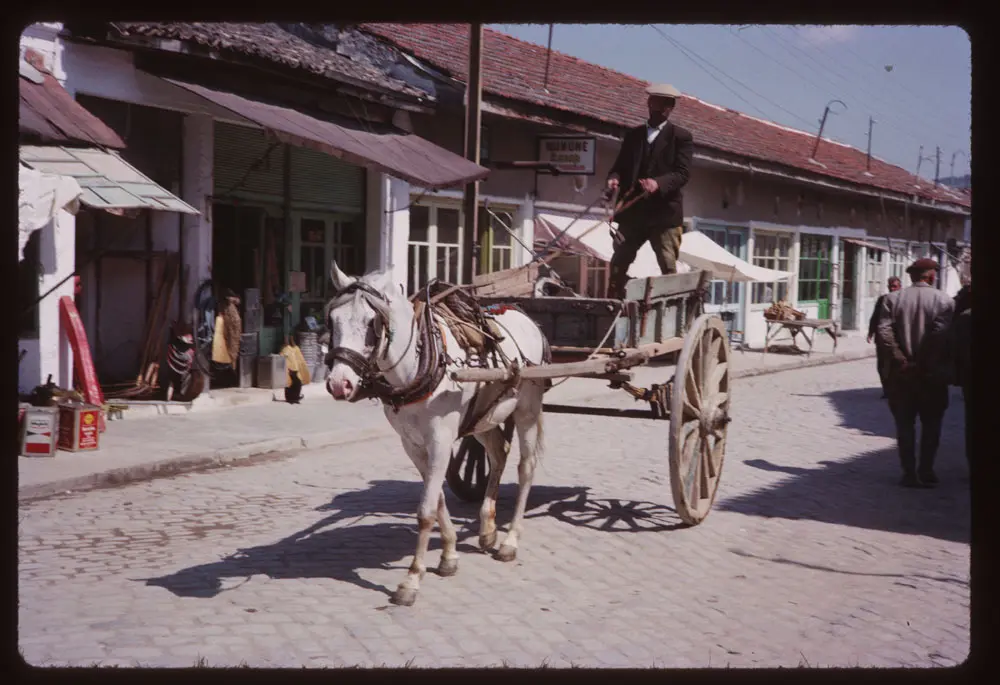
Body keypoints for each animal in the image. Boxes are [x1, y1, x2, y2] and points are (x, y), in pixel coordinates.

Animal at [326, 260, 548, 604]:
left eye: (371, 322)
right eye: (332, 319)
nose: (339, 384)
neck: (418, 364)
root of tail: (525, 316)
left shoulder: (441, 440)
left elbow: (426, 510)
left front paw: (411, 579)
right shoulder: (414, 445)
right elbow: (439, 498)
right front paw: (449, 556)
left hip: (526, 409)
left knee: (526, 468)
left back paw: (510, 541)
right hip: (482, 415)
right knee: (498, 453)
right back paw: (487, 529)